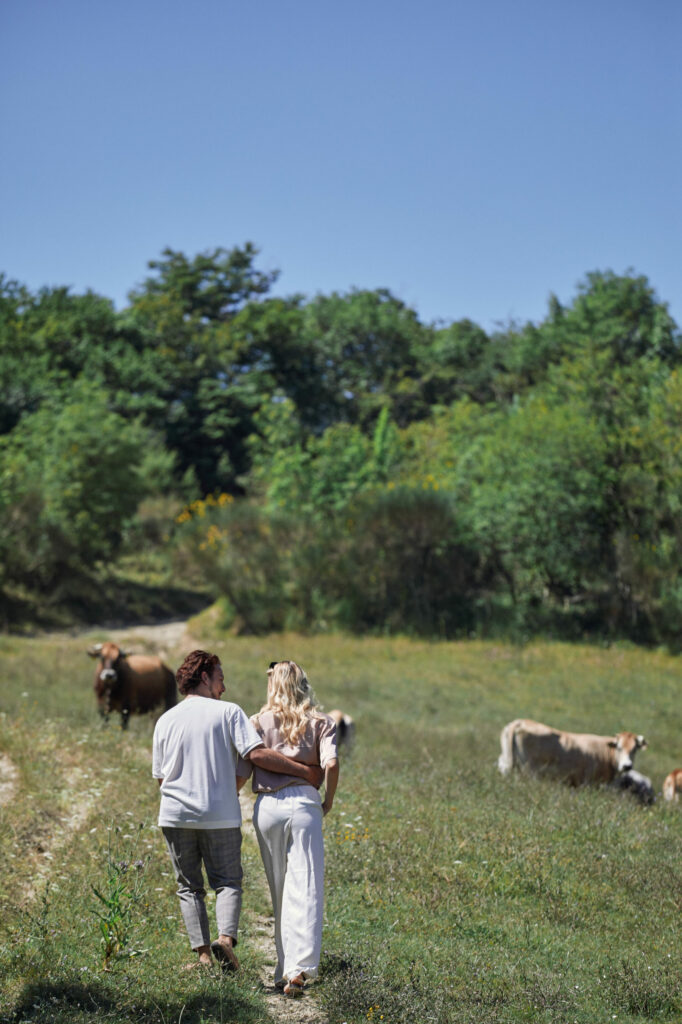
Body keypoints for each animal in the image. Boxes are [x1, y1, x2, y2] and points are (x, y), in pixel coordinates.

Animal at [497, 716, 647, 786]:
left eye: (635, 749)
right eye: (619, 747)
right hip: (529, 771)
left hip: (506, 764)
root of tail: (520, 722)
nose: (627, 765)